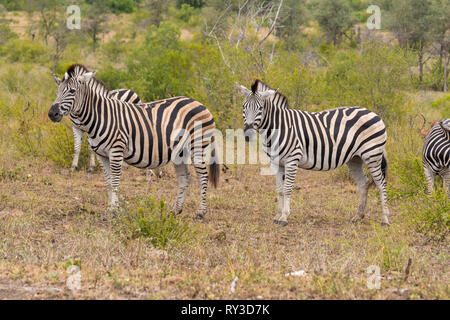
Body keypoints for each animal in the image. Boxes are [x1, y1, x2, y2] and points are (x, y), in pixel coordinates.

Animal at [48, 63, 218, 219]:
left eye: (72, 91)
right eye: (57, 92)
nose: (52, 113)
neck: (100, 116)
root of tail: (199, 103)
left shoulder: (116, 151)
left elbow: (115, 182)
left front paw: (114, 211)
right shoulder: (101, 155)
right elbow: (108, 182)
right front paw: (109, 209)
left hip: (198, 145)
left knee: (203, 176)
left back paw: (200, 212)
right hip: (180, 152)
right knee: (185, 177)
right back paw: (175, 211)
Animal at [236, 79, 390, 226]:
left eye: (260, 108)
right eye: (244, 107)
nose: (248, 135)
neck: (278, 128)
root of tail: (372, 112)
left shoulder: (292, 160)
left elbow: (287, 189)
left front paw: (284, 217)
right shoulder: (276, 162)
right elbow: (279, 190)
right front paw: (277, 216)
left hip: (372, 155)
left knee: (381, 184)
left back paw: (385, 220)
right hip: (355, 159)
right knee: (363, 183)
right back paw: (358, 217)